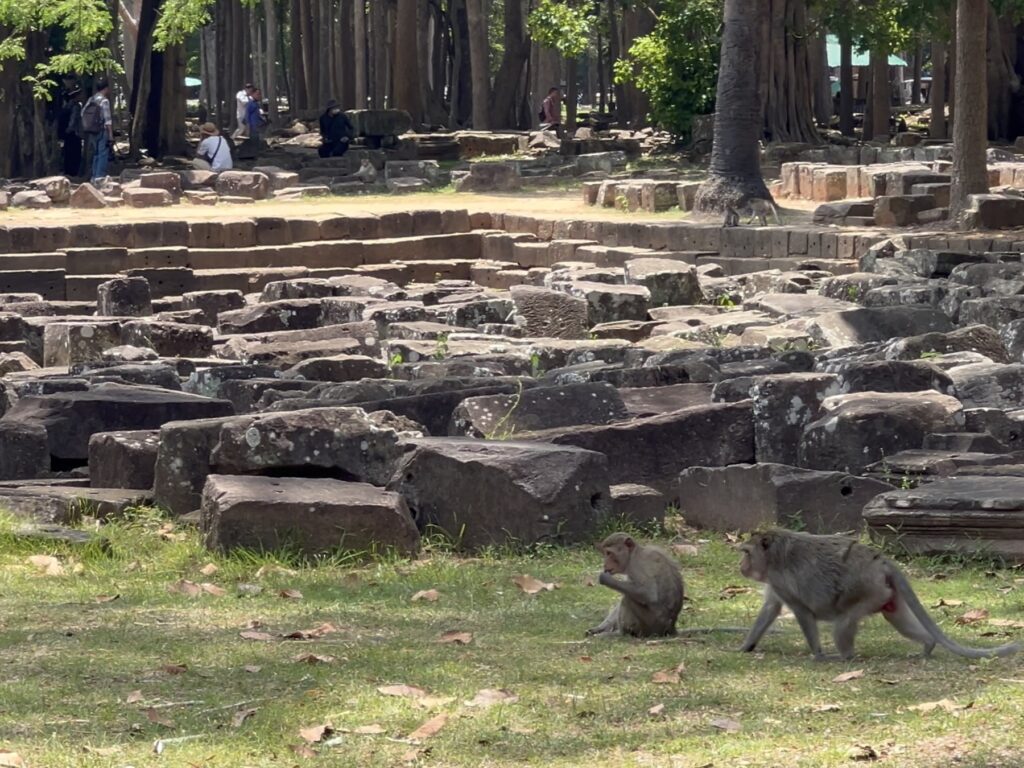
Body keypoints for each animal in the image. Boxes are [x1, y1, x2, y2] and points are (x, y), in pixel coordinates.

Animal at [738, 529, 1020, 661]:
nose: (741, 566)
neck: (772, 555)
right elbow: (770, 609)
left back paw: (845, 657)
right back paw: (928, 645)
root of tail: (881, 561)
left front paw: (817, 655)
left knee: (844, 624)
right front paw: (744, 646)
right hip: (885, 594)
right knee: (897, 620)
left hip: (865, 590)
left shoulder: (779, 580)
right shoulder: (774, 582)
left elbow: (802, 612)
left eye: (746, 553)